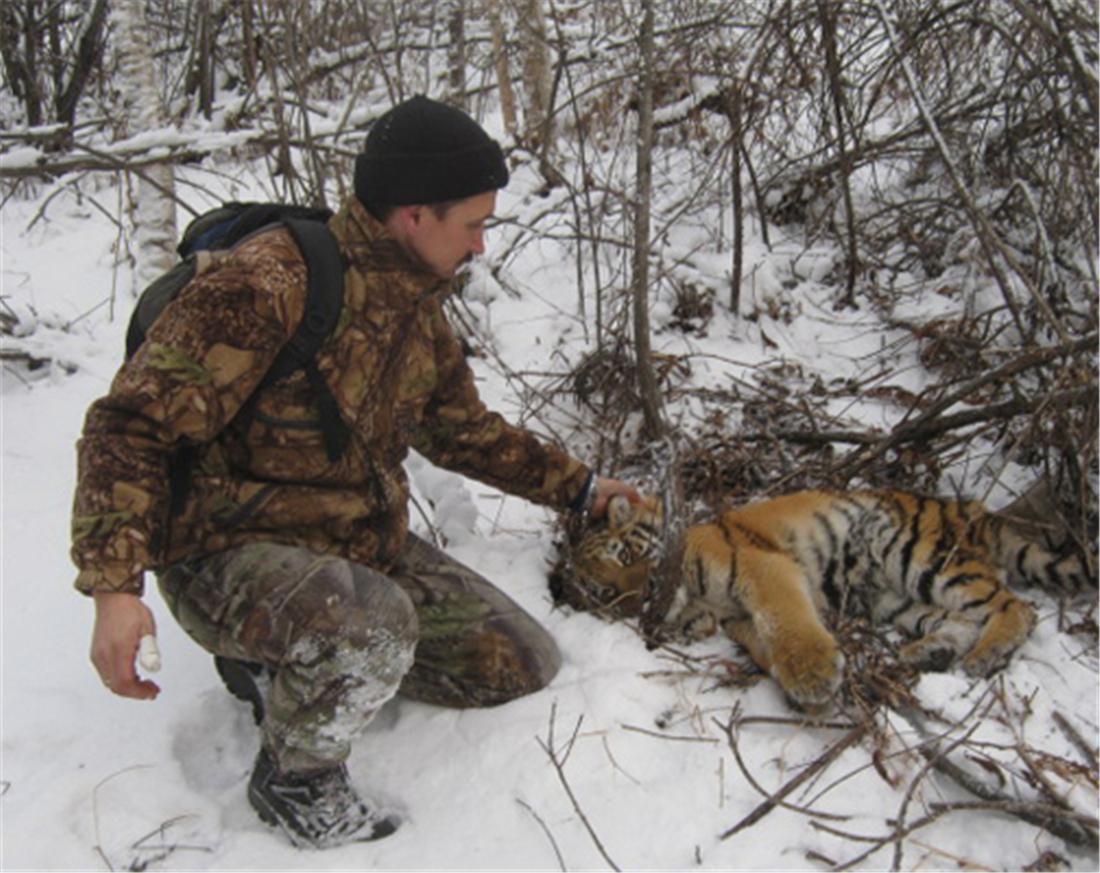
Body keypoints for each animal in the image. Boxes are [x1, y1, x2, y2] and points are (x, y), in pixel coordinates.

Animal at [558, 485, 1091, 712]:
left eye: (626, 552)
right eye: (607, 592)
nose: (642, 596)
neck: (695, 600)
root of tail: (975, 509)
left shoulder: (762, 568)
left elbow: (784, 620)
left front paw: (813, 676)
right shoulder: (737, 620)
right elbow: (763, 643)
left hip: (915, 552)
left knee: (1014, 605)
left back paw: (987, 653)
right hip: (893, 597)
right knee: (958, 618)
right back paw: (930, 652)